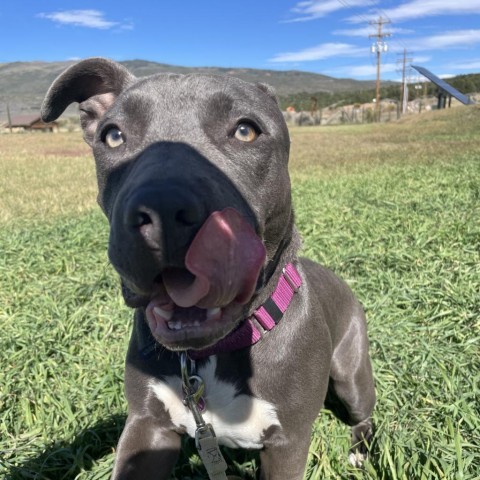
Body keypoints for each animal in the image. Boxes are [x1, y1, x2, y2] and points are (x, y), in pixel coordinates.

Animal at [41, 58, 376, 478]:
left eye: (246, 130)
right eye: (113, 136)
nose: (162, 207)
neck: (214, 352)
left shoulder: (288, 444)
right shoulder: (147, 427)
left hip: (352, 377)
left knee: (363, 412)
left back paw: (360, 451)